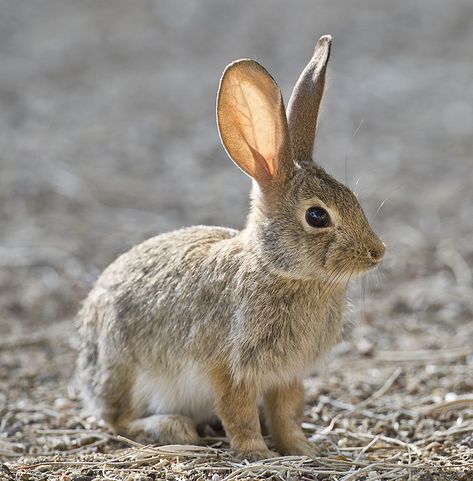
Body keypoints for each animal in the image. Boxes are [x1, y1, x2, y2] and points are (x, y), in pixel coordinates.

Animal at [74, 35, 384, 460]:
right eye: (317, 216)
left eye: (354, 199)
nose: (377, 251)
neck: (277, 269)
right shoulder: (231, 370)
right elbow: (239, 414)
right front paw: (258, 453)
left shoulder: (286, 376)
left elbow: (287, 414)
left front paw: (304, 449)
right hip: (124, 368)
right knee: (117, 419)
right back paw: (172, 427)